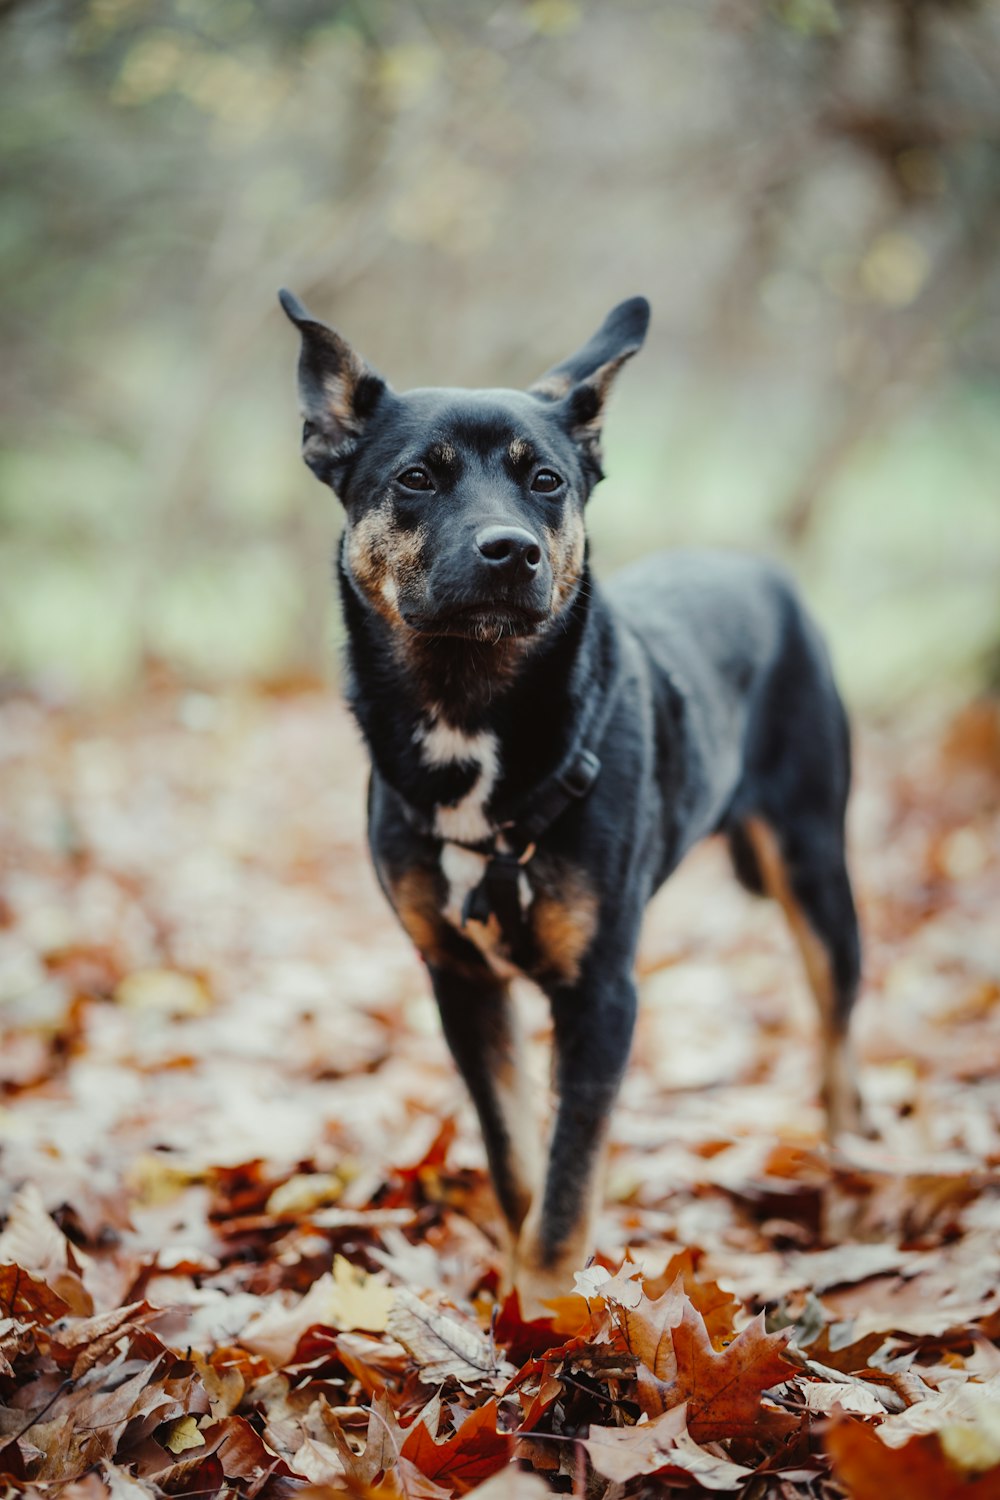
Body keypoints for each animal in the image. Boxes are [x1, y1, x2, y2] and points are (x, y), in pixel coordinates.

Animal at [275, 292, 869, 1314]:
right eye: (417, 478)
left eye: (546, 481)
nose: (509, 551)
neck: (471, 714)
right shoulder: (461, 983)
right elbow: (518, 1158)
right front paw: (517, 1303)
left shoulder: (602, 996)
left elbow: (566, 1181)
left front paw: (552, 1317)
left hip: (814, 863)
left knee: (836, 1036)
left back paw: (844, 1167)